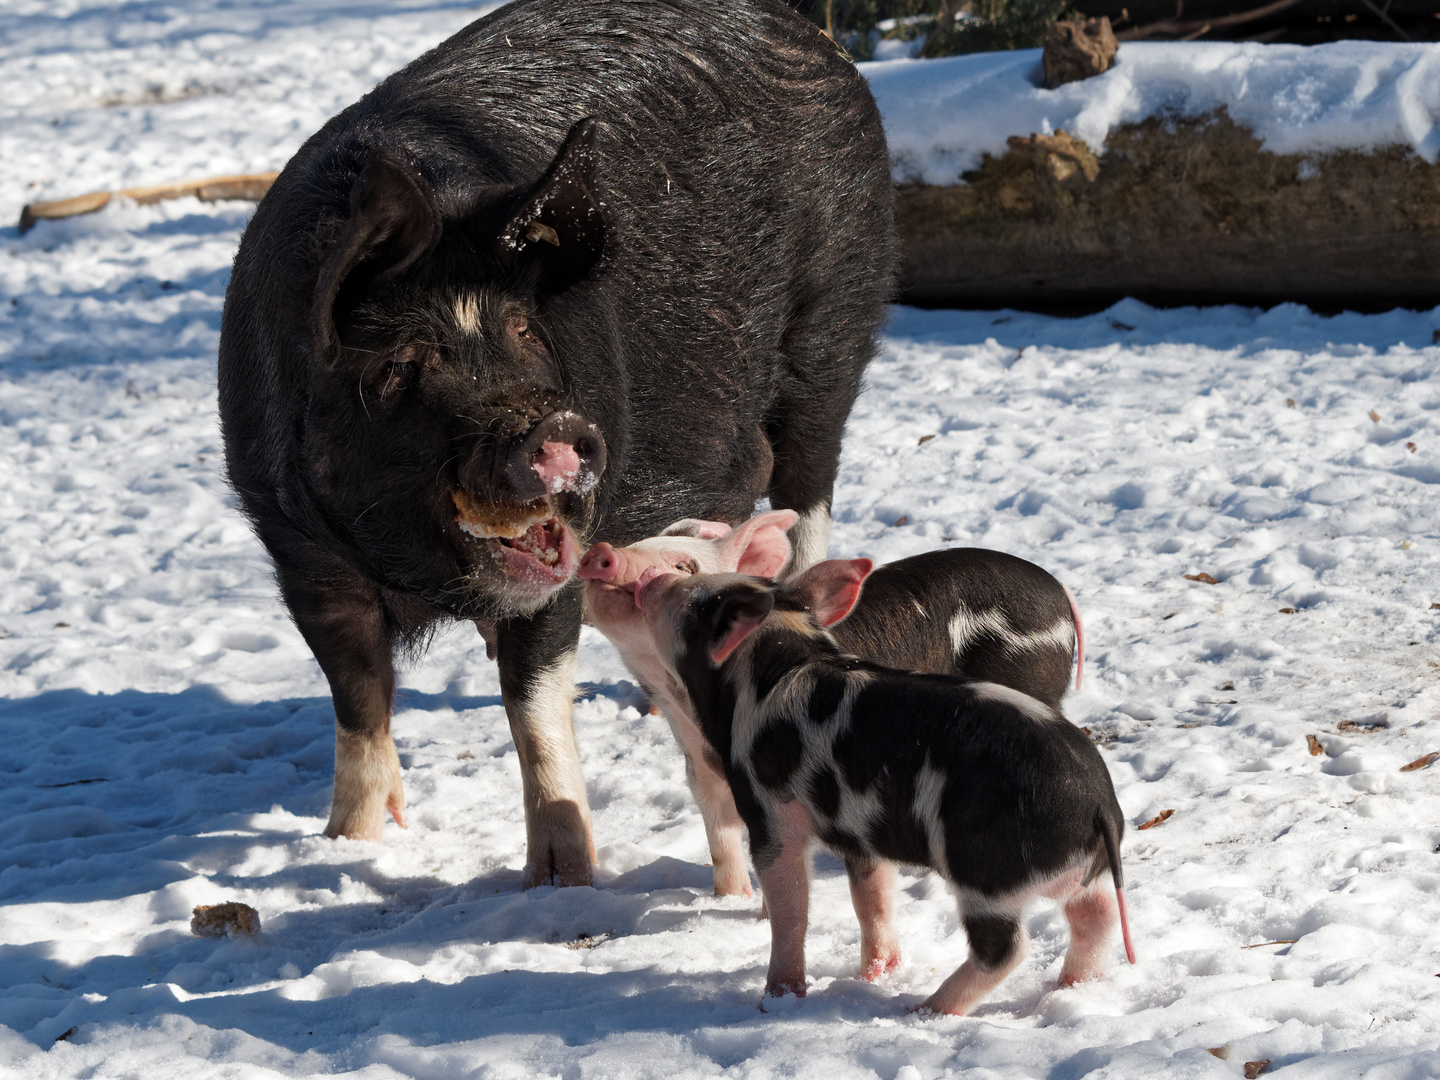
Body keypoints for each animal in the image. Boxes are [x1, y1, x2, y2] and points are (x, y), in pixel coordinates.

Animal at [214, 0, 892, 887]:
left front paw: (562, 878)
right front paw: (351, 844)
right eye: (400, 363)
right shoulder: (299, 549)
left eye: (526, 330)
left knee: (805, 491)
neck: (420, 574)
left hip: (832, 332)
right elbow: (357, 700)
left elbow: (533, 699)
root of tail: (808, 37)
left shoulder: (569, 541)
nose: (556, 427)